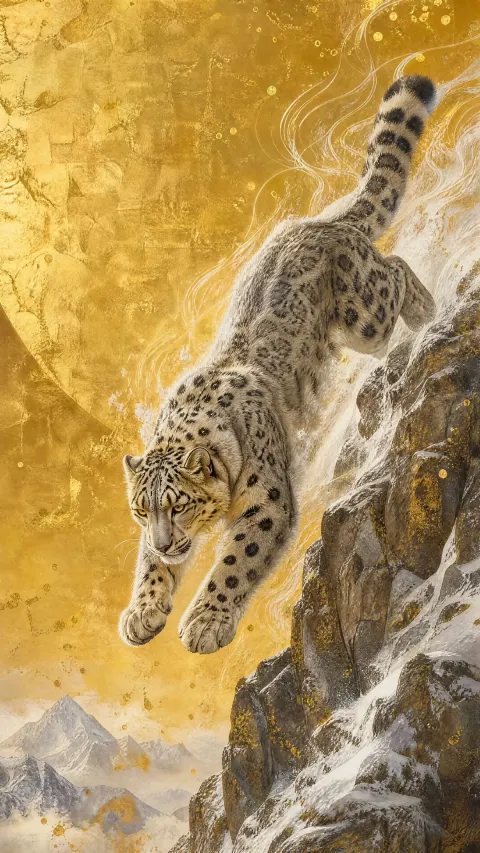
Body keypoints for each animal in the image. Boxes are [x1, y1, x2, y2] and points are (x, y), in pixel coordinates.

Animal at [119, 75, 437, 654]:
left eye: (179, 504)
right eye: (142, 509)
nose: (169, 542)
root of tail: (314, 222)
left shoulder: (264, 501)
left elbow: (234, 562)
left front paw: (204, 622)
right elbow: (146, 566)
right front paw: (143, 611)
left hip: (366, 315)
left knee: (398, 270)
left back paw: (426, 312)